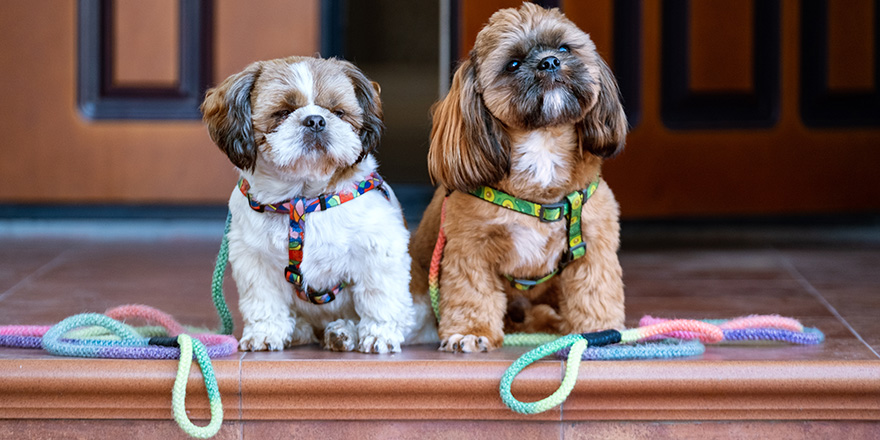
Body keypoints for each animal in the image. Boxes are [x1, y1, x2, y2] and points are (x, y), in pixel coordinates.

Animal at [205, 56, 436, 352]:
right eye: (282, 112)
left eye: (338, 112)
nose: (315, 120)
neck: (303, 201)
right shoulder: (255, 259)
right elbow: (264, 302)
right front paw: (265, 332)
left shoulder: (378, 249)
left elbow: (380, 297)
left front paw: (379, 334)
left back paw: (344, 331)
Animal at [410, 3, 624, 352]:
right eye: (512, 64)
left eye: (564, 48)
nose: (549, 62)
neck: (542, 146)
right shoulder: (469, 249)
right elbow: (472, 292)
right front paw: (470, 332)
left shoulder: (593, 245)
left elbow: (594, 291)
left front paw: (598, 330)